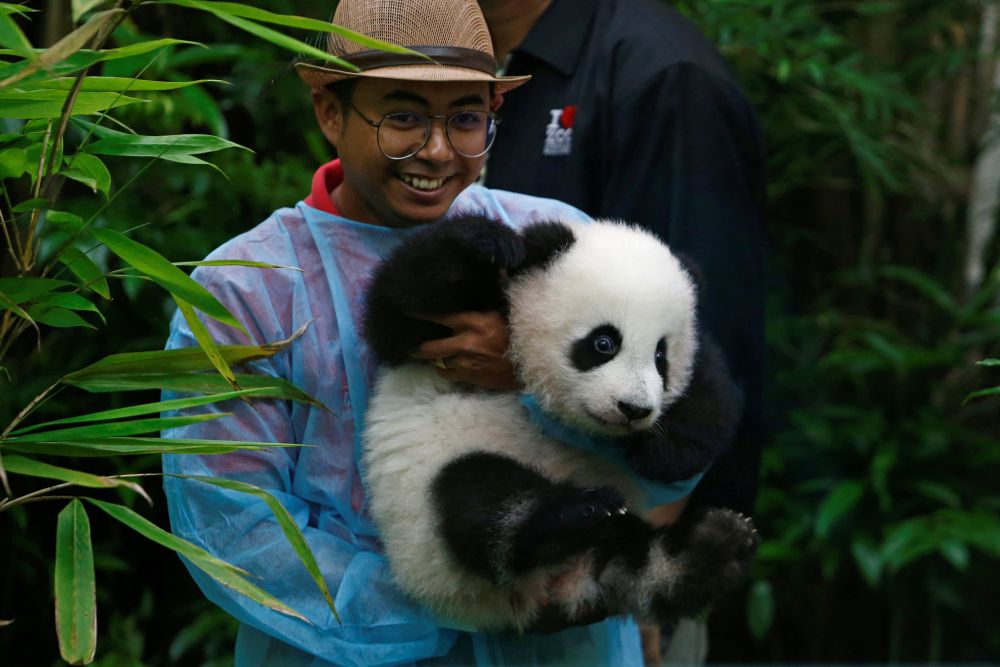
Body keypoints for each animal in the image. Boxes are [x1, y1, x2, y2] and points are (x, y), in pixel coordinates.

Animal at [361, 215, 757, 631]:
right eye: (604, 343)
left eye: (661, 356)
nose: (634, 409)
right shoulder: (454, 325)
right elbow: (395, 310)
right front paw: (487, 242)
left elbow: (711, 393)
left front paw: (666, 450)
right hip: (427, 500)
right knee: (483, 501)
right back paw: (579, 513)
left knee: (639, 560)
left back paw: (713, 549)